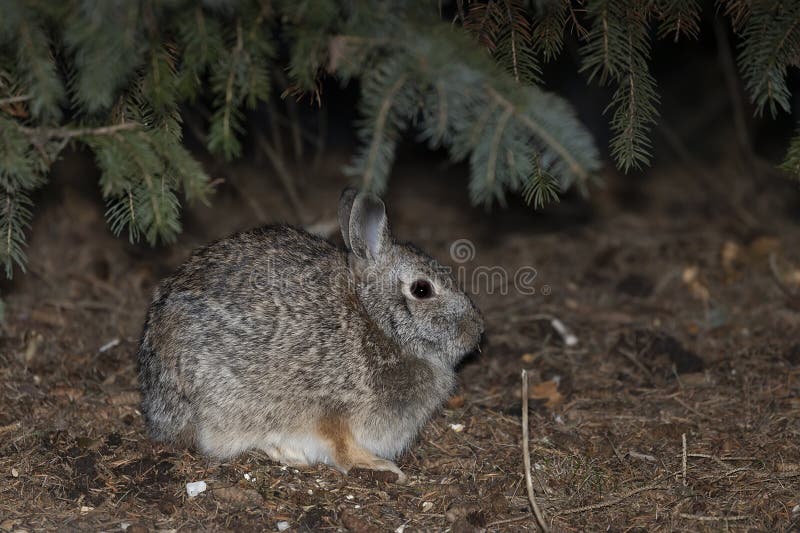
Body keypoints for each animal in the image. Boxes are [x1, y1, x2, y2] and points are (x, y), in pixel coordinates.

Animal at [137, 188, 485, 482]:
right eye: (422, 290)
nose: (476, 330)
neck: (375, 320)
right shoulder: (331, 408)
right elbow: (342, 446)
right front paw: (379, 466)